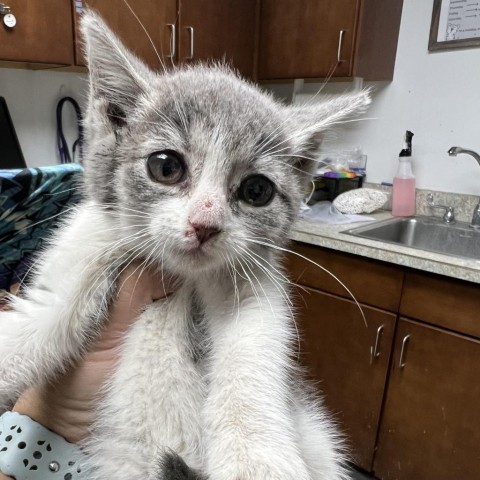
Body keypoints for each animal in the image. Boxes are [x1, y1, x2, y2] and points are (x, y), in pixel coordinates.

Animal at [0, 10, 372, 480]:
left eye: (256, 191)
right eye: (166, 166)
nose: (205, 225)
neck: (182, 279)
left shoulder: (256, 286)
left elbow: (254, 353)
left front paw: (255, 455)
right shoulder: (84, 251)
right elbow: (38, 322)